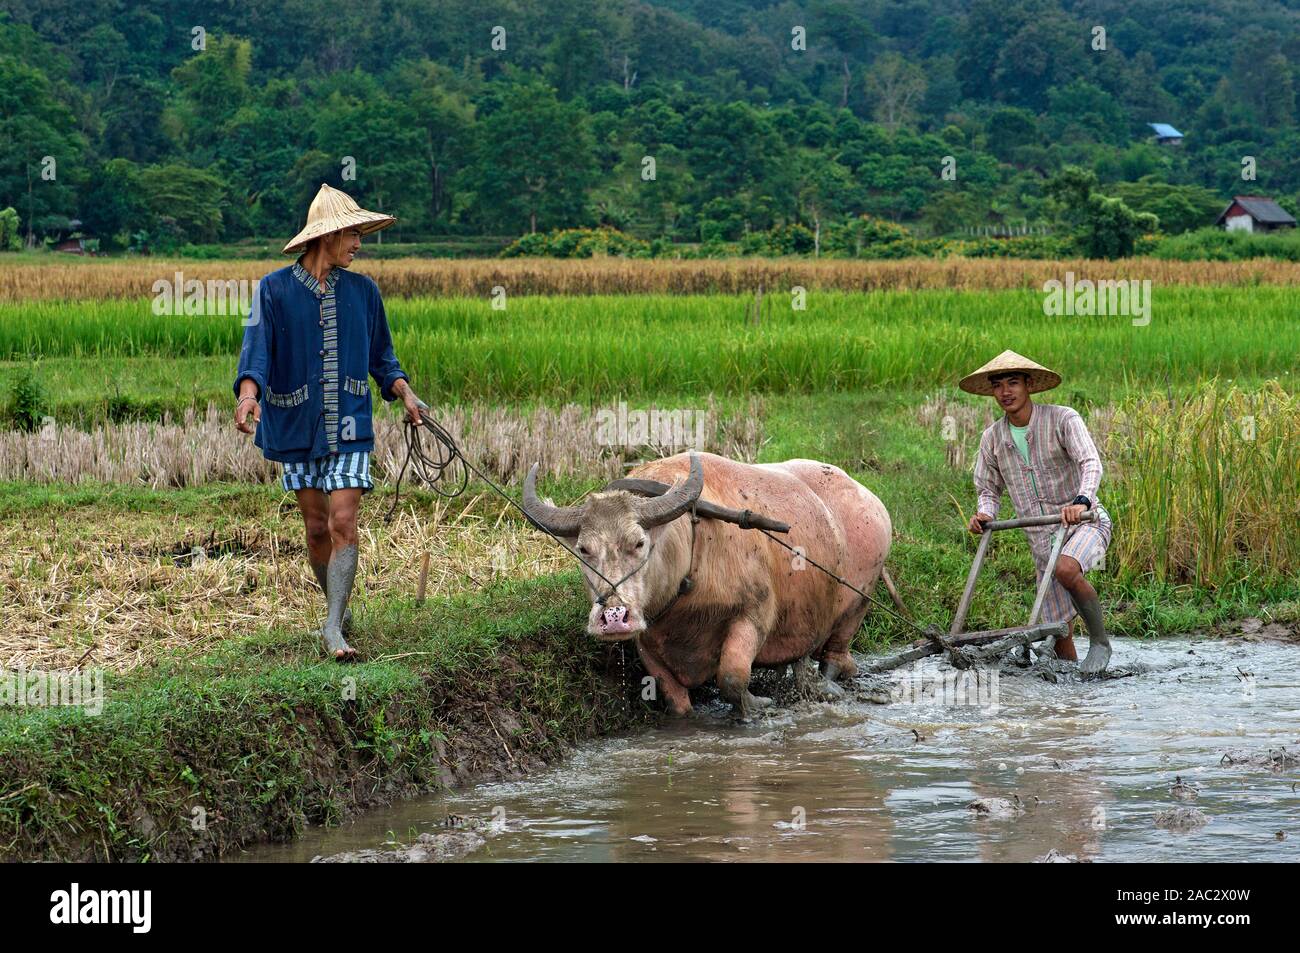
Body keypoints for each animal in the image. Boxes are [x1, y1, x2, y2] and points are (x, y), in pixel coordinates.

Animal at [522, 452, 889, 712]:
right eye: (584, 549)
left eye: (639, 543)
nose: (613, 618)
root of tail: (871, 500)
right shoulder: (648, 640)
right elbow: (674, 698)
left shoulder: (754, 615)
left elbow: (732, 678)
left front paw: (757, 705)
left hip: (859, 602)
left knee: (835, 655)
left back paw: (829, 683)